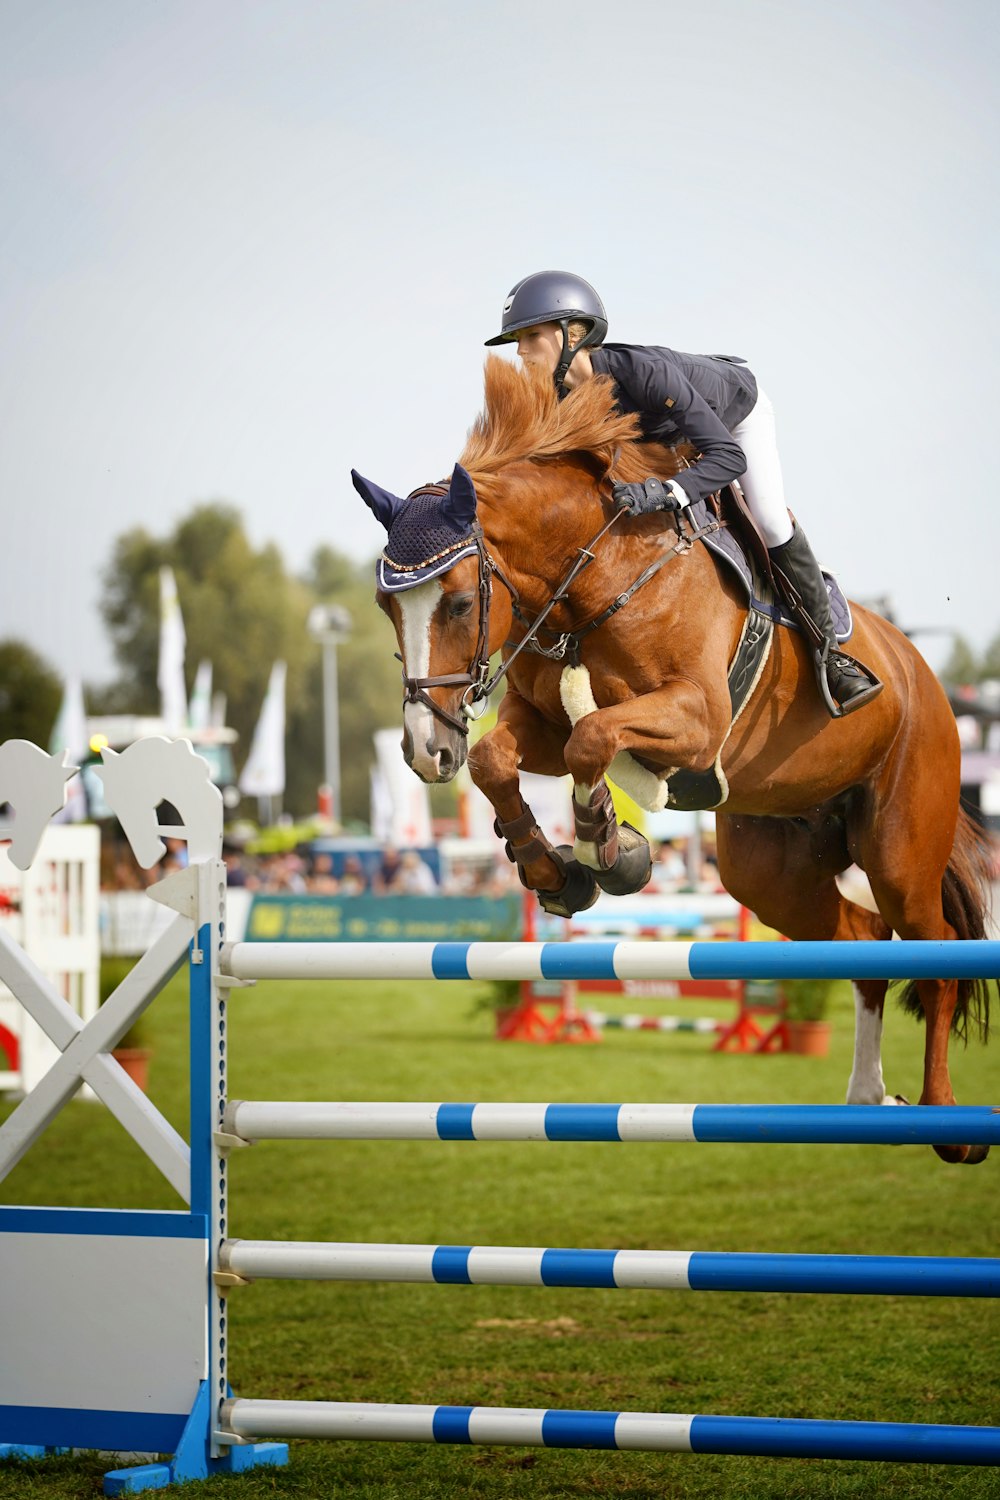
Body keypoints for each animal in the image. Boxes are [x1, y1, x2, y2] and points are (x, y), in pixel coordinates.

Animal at [353, 357, 995, 1164]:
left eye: (463, 604)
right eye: (386, 605)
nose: (425, 751)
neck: (596, 574)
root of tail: (926, 680)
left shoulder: (695, 717)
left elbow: (592, 740)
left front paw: (610, 842)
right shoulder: (539, 721)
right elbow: (504, 757)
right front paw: (555, 871)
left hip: (901, 846)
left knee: (934, 957)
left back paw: (947, 1123)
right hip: (770, 872)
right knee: (864, 940)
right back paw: (867, 1098)